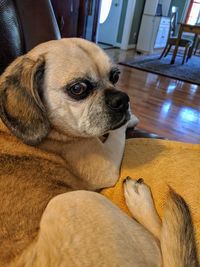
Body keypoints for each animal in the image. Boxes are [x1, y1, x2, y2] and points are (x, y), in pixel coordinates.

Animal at [0, 38, 198, 267]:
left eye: (116, 76)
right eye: (78, 89)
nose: (123, 99)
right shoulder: (105, 165)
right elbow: (117, 131)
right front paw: (132, 118)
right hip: (72, 201)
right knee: (163, 243)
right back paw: (139, 199)